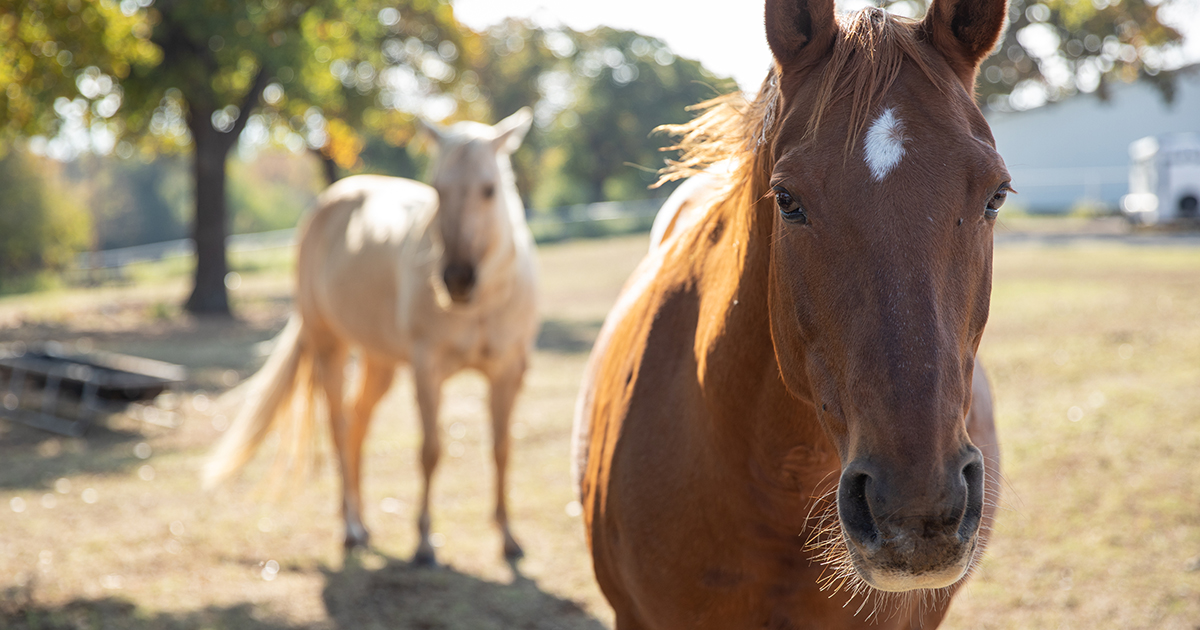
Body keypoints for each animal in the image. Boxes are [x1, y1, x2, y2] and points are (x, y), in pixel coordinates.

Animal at [208, 106, 537, 559]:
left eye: (489, 190)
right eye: (438, 190)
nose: (457, 280)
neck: (482, 305)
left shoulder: (508, 370)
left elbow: (502, 449)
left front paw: (508, 537)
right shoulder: (427, 370)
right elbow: (431, 451)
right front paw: (424, 542)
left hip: (378, 361)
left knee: (356, 424)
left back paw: (363, 523)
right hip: (330, 346)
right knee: (338, 425)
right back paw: (350, 527)